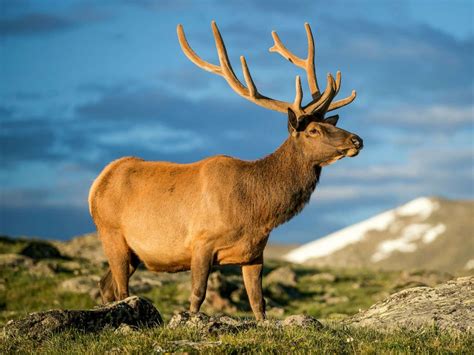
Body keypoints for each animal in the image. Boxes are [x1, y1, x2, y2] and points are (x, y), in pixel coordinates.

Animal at [89, 23, 362, 322]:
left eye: (332, 124)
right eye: (313, 130)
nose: (356, 140)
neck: (255, 210)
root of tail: (97, 184)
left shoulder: (254, 253)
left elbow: (258, 302)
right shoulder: (200, 242)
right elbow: (197, 296)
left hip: (134, 252)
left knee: (105, 284)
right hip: (112, 234)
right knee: (121, 289)